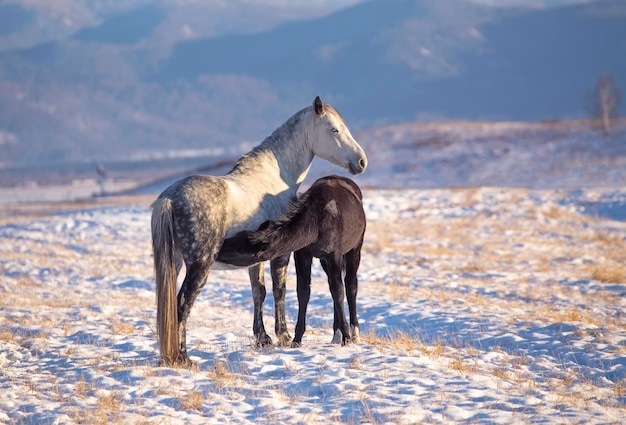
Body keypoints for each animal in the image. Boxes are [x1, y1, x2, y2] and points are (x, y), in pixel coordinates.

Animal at [151, 97, 366, 364]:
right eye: (334, 129)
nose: (361, 161)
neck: (274, 177)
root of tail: (169, 199)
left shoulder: (256, 259)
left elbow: (259, 292)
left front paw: (263, 338)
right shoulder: (282, 253)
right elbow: (279, 290)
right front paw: (284, 336)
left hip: (176, 262)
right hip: (199, 266)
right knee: (182, 304)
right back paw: (183, 357)